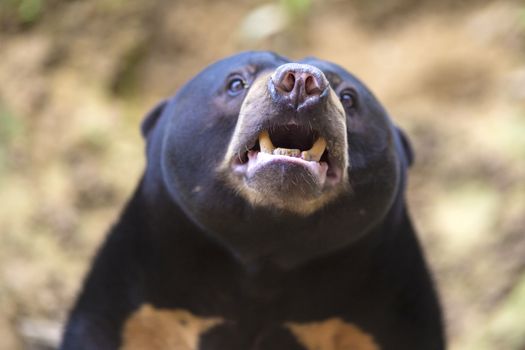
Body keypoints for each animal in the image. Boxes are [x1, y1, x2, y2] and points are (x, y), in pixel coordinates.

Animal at [61, 50, 446, 350]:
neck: (266, 257)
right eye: (236, 83)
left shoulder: (384, 312)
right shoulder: (140, 308)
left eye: (350, 98)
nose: (301, 81)